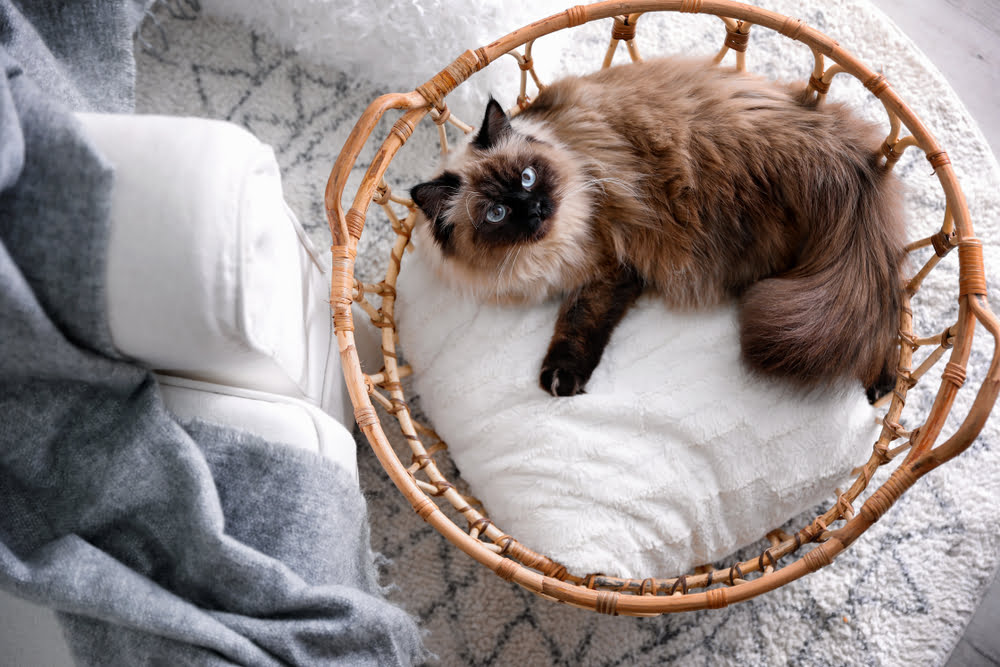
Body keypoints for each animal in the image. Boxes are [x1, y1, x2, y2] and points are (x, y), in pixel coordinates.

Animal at [406, 56, 908, 402]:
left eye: (528, 177)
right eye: (496, 213)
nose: (534, 209)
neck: (542, 255)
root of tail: (825, 143)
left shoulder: (607, 269)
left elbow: (577, 323)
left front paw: (561, 379)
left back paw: (881, 386)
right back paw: (881, 386)